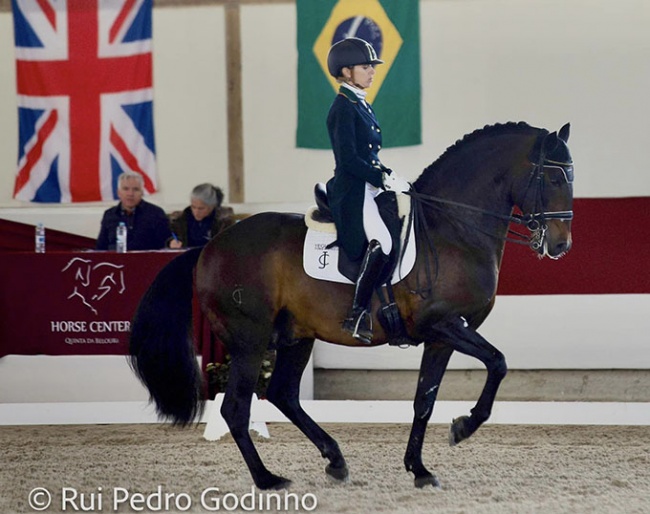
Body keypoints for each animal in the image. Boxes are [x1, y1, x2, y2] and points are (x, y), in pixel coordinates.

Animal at [130, 120, 572, 488]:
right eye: (553, 177)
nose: (561, 245)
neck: (453, 228)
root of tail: (207, 248)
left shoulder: (443, 336)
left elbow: (424, 400)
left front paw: (420, 469)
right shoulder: (444, 324)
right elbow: (498, 363)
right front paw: (463, 426)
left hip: (295, 335)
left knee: (283, 394)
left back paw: (335, 460)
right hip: (249, 340)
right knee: (237, 407)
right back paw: (268, 479)